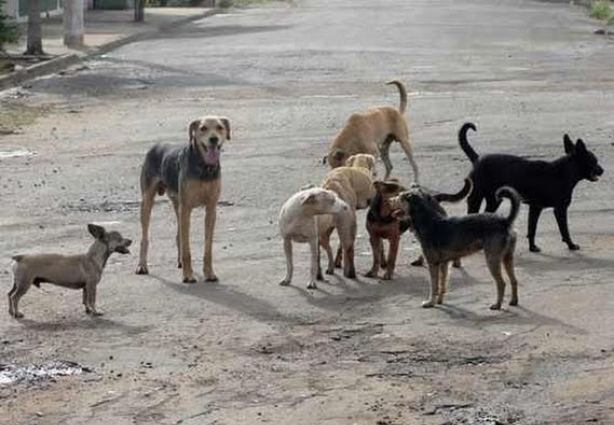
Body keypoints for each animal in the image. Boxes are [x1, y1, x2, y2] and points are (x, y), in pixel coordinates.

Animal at [137, 114, 231, 284]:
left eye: (220, 127)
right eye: (203, 128)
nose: (213, 139)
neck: (204, 168)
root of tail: (156, 145)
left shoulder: (211, 209)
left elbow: (208, 249)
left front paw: (209, 273)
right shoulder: (186, 209)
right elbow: (187, 248)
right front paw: (188, 275)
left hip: (177, 203)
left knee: (178, 235)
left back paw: (179, 261)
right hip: (147, 201)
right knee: (144, 237)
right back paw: (142, 266)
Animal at [462, 121, 608, 252]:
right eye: (594, 161)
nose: (602, 170)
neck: (564, 172)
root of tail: (477, 159)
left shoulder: (535, 208)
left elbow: (532, 229)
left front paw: (532, 247)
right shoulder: (560, 210)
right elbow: (564, 230)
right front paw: (571, 245)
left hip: (494, 200)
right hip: (477, 197)